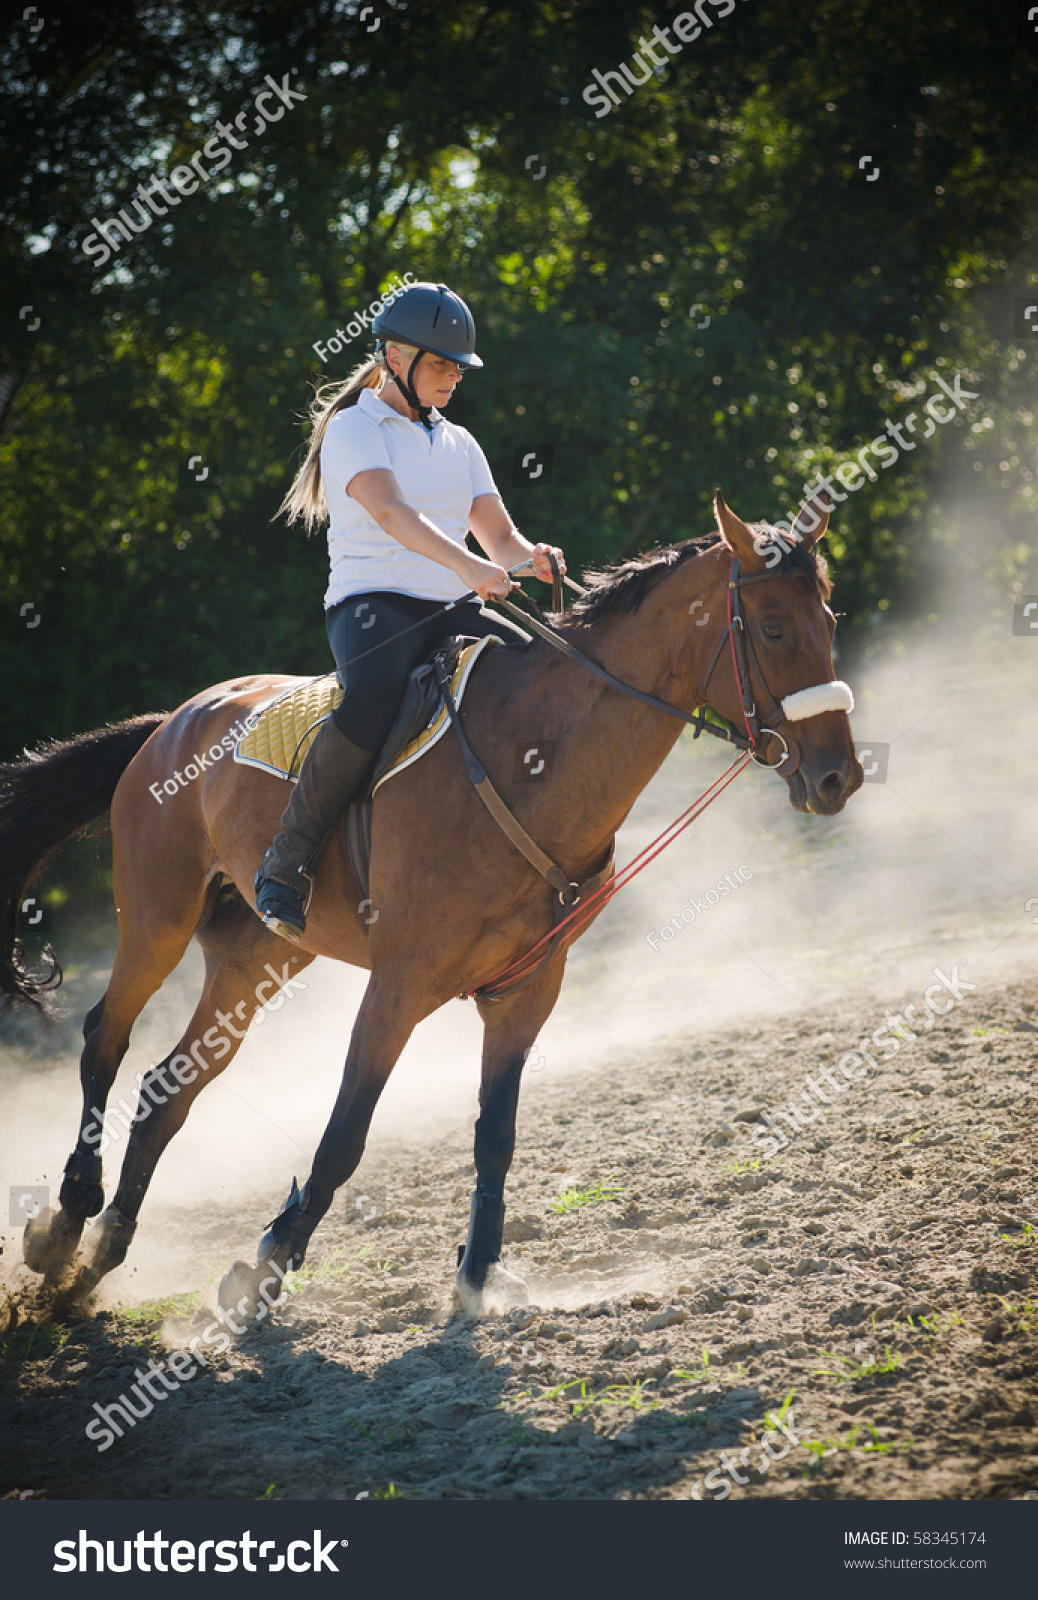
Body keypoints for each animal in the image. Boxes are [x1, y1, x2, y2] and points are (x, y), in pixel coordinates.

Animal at [0, 496, 857, 1324]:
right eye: (773, 628)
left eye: (830, 621)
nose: (838, 777)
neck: (530, 760)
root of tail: (176, 719)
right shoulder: (398, 986)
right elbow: (345, 1136)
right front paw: (268, 1266)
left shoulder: (527, 992)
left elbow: (495, 1138)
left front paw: (477, 1279)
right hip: (157, 921)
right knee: (104, 1040)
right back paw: (66, 1222)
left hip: (257, 960)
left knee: (165, 1093)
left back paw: (98, 1257)